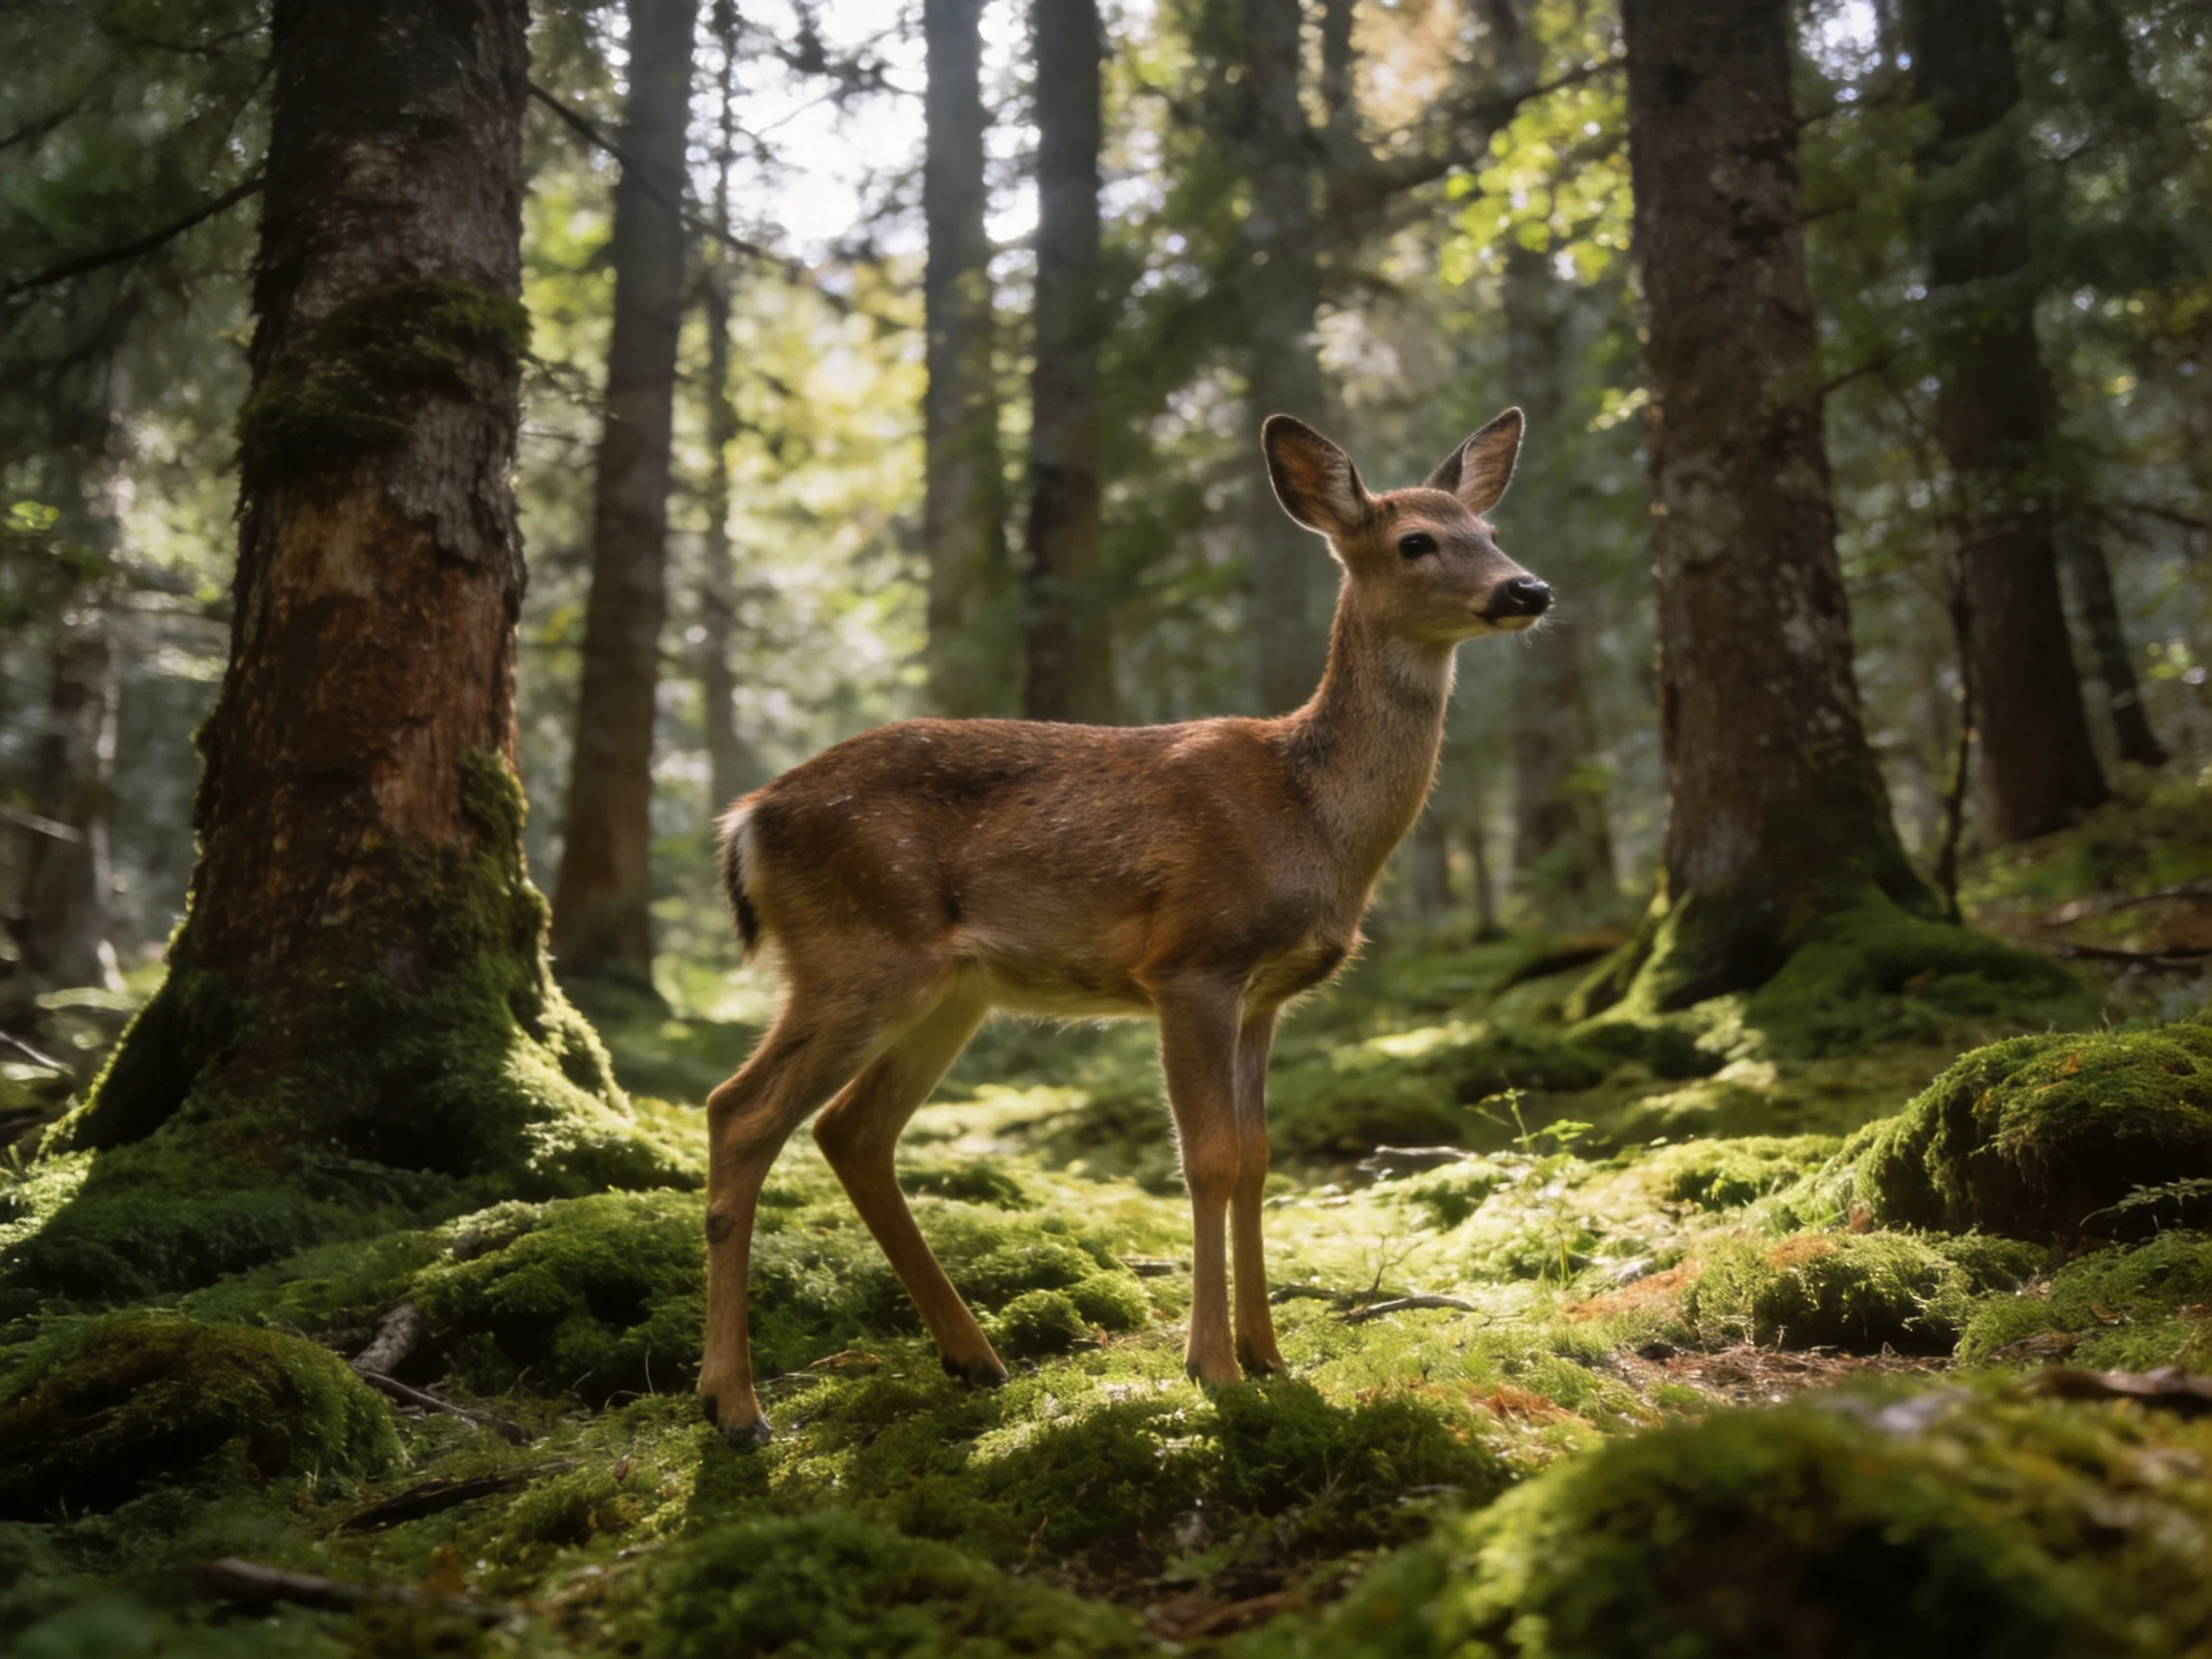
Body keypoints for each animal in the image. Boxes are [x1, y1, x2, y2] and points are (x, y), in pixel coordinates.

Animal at [697, 411, 1549, 1444]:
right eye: (1416, 542)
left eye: (1491, 531)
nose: (1528, 589)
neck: (1312, 817)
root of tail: (747, 821)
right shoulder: (1190, 964)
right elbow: (1208, 1158)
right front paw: (1211, 1365)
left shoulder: (1265, 996)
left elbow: (1259, 1158)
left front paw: (1271, 1356)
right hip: (857, 950)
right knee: (740, 1112)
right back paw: (734, 1406)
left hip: (948, 990)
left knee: (849, 1130)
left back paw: (974, 1358)